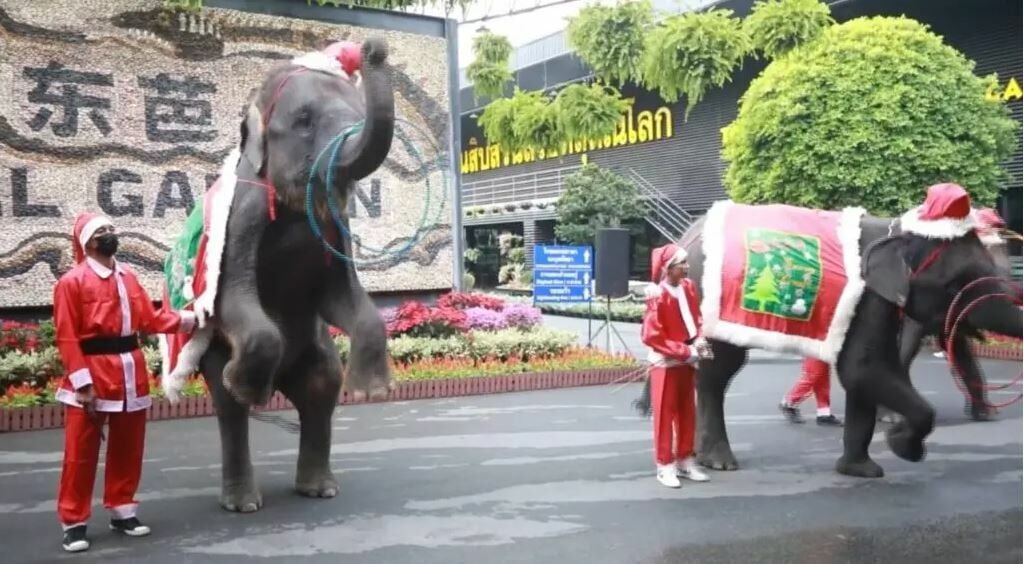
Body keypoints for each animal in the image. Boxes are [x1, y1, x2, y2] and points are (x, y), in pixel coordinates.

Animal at [163, 36, 395, 511]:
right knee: (230, 411)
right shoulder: (240, 221)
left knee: (322, 389)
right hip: (215, 353)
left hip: (318, 351)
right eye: (304, 120)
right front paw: (245, 389)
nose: (374, 47)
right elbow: (228, 298)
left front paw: (372, 394)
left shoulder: (338, 226)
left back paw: (320, 490)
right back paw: (243, 495)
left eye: (358, 113)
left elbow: (341, 296)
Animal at [634, 193, 1019, 476]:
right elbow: (864, 368)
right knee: (718, 371)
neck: (897, 229)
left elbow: (863, 375)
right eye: (958, 282)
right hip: (707, 298)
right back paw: (718, 462)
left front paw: (861, 470)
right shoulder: (870, 297)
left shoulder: (875, 302)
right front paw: (903, 445)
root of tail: (683, 238)